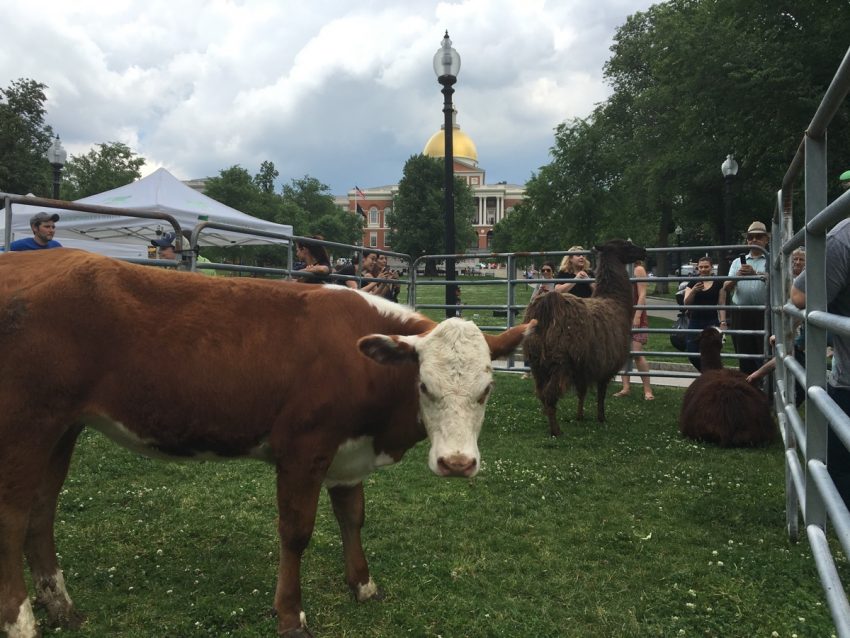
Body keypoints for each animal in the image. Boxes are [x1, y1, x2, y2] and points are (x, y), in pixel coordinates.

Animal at [0, 250, 528, 638]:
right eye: (424, 386)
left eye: (487, 389)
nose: (457, 463)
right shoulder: (303, 449)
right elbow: (296, 532)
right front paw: (291, 615)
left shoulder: (347, 453)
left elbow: (352, 516)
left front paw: (363, 584)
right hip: (25, 425)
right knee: (13, 518)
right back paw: (22, 621)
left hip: (62, 427)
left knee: (42, 511)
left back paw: (61, 606)